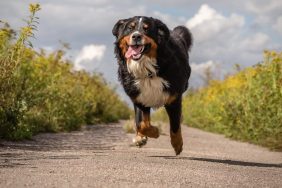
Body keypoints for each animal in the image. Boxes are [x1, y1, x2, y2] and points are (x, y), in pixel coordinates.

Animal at [112, 16, 192, 155]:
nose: (136, 36)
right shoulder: (139, 97)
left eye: (146, 29)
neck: (146, 70)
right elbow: (141, 123)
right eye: (130, 28)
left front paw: (177, 144)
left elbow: (175, 125)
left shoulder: (174, 98)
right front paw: (153, 132)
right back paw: (139, 138)